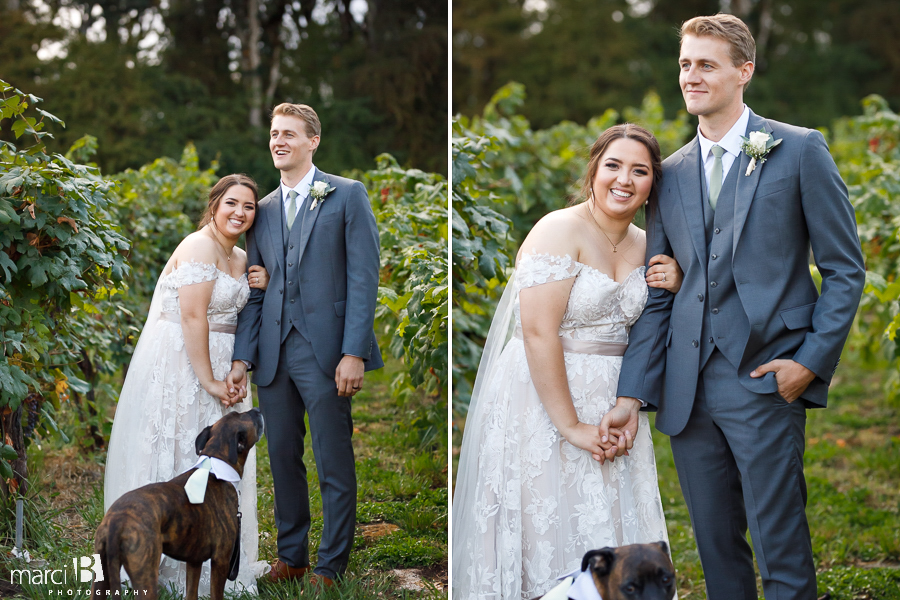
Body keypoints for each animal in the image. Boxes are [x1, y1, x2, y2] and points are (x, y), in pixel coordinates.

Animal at [91, 408, 264, 600]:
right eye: (251, 418)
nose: (257, 410)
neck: (214, 465)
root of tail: (117, 522)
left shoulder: (194, 561)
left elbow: (191, 593)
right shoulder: (221, 560)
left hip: (101, 578)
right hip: (146, 577)